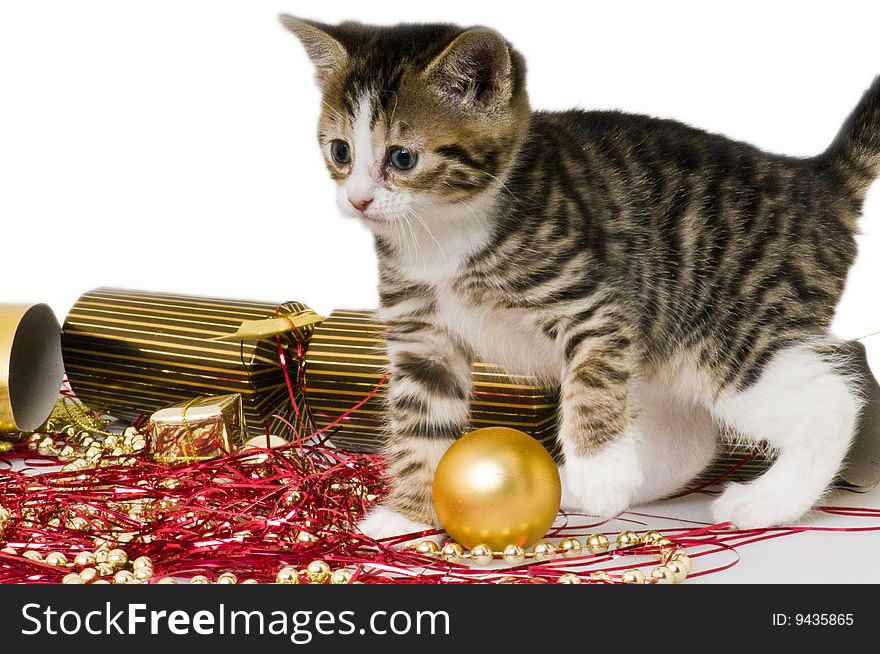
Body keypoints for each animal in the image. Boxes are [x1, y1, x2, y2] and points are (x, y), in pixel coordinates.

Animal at [284, 16, 880, 540]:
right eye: (340, 152)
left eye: (402, 158)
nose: (358, 199)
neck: (445, 232)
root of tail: (814, 179)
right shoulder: (421, 337)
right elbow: (422, 423)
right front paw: (408, 515)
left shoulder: (595, 306)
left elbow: (590, 385)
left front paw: (600, 474)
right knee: (688, 437)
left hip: (728, 331)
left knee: (833, 402)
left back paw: (765, 500)